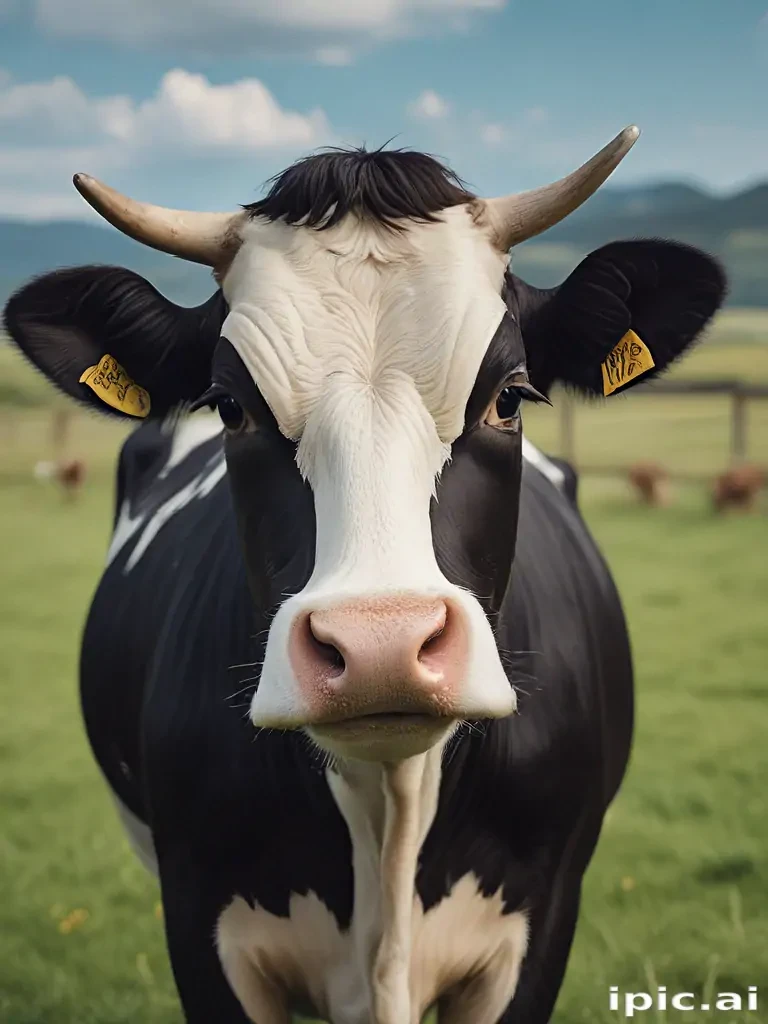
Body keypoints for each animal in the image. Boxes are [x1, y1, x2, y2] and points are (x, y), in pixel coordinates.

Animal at [3, 127, 726, 1024]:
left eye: (510, 397)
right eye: (230, 407)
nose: (381, 645)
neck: (389, 805)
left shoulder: (543, 921)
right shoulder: (199, 921)